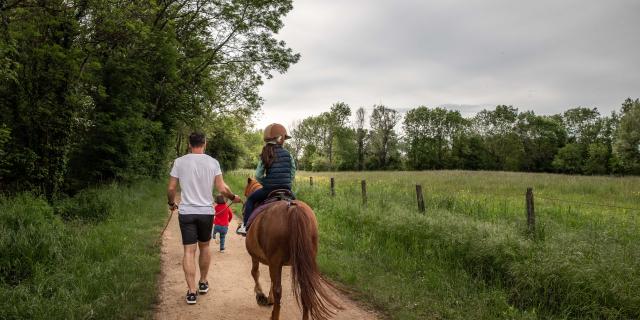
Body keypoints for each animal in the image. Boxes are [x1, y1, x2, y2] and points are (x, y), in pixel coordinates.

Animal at [242, 179, 340, 318]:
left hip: (276, 262)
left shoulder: (258, 257)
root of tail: (293, 209)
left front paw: (261, 296)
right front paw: (267, 298)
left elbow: (255, 273)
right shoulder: (274, 263)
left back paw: (274, 316)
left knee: (278, 290)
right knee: (305, 290)